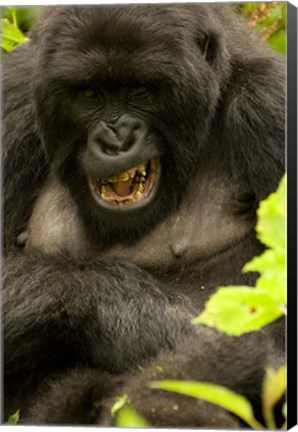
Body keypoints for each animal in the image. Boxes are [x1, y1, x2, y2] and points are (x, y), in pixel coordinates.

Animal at [2, 4, 286, 428]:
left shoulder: (273, 104)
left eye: (141, 90)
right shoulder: (13, 100)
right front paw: (138, 319)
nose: (116, 141)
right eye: (89, 94)